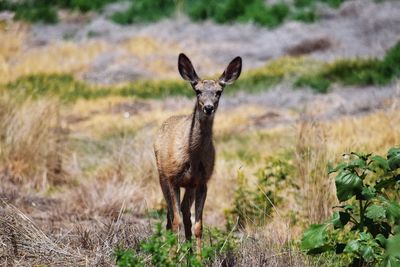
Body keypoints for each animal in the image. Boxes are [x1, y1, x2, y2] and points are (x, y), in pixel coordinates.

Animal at [153, 52, 241, 255]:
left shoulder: (202, 181)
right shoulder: (172, 178)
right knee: (171, 215)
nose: (208, 107)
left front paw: (198, 258)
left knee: (185, 211)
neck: (191, 155)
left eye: (219, 92)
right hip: (162, 176)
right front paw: (172, 256)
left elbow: (198, 225)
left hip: (190, 185)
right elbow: (175, 220)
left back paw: (189, 252)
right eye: (197, 91)